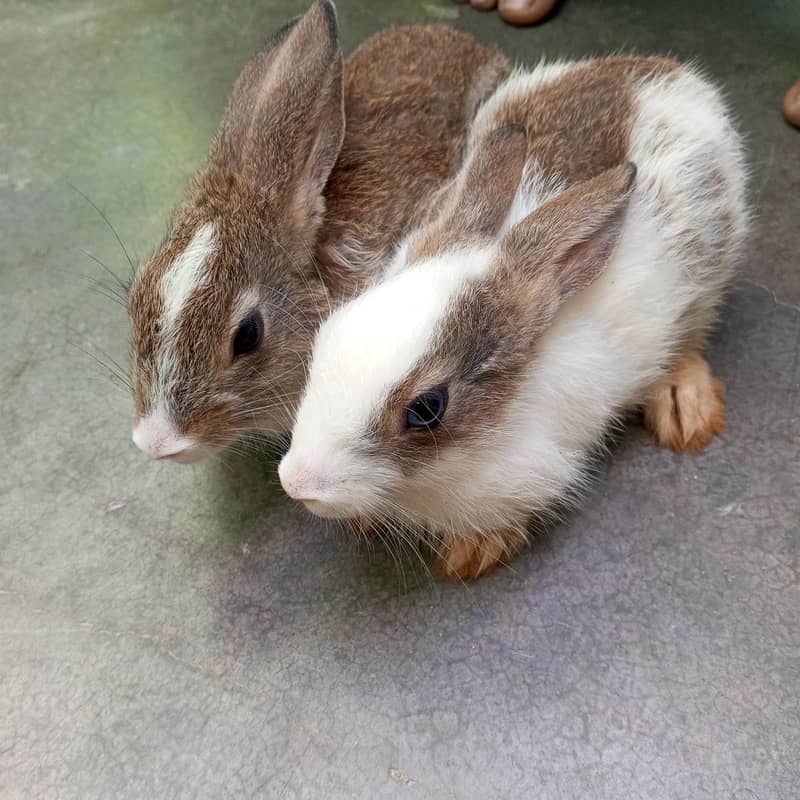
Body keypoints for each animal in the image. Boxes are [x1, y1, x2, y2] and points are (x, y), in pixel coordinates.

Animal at [278, 56, 749, 580]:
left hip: (707, 279)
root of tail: (669, 72)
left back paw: (684, 406)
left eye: (427, 408)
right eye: (326, 337)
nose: (296, 483)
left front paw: (473, 553)